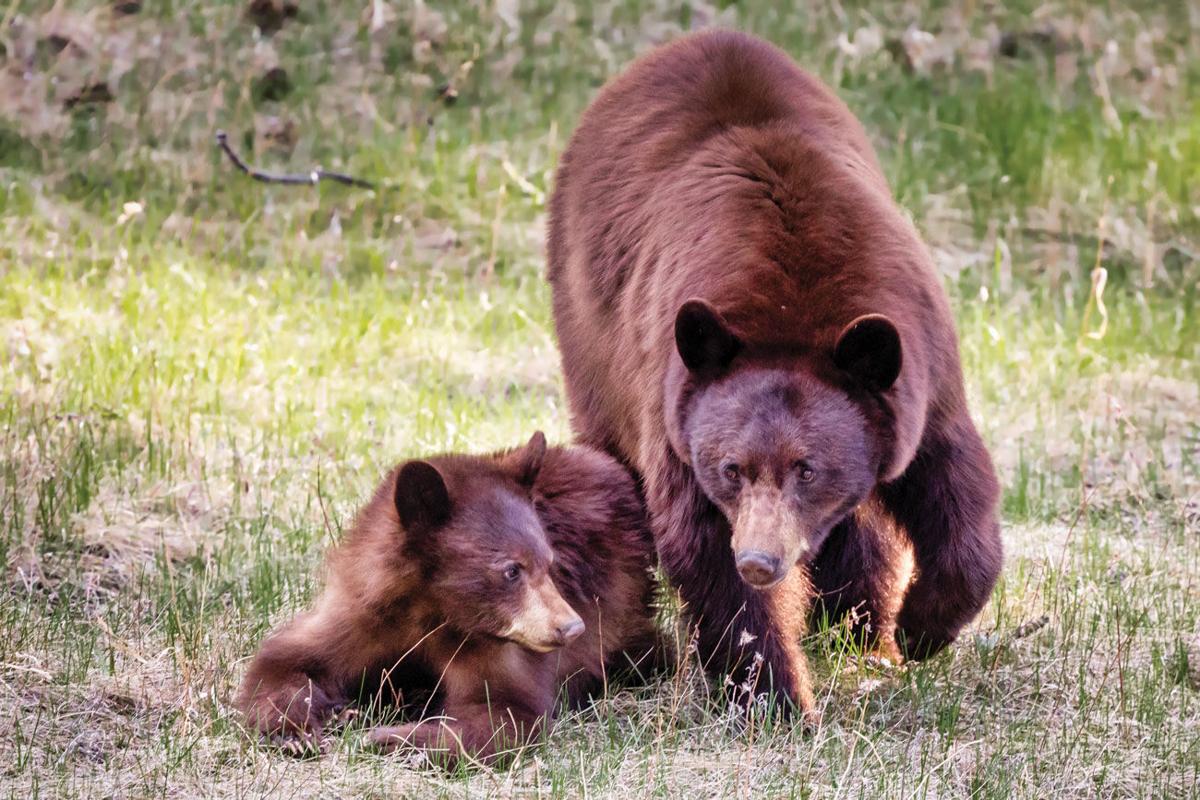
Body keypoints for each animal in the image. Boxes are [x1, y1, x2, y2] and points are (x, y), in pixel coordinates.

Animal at [236, 432, 660, 766]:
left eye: (549, 563)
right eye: (512, 570)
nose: (571, 627)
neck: (434, 612)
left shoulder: (493, 648)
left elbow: (504, 712)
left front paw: (393, 738)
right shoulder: (362, 615)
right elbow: (286, 658)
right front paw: (300, 730)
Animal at [546, 30, 1002, 719]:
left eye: (807, 469)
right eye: (731, 468)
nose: (761, 559)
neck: (794, 312)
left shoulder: (920, 370)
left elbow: (953, 484)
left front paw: (920, 628)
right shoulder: (673, 410)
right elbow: (704, 550)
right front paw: (777, 697)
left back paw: (858, 626)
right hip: (590, 333)